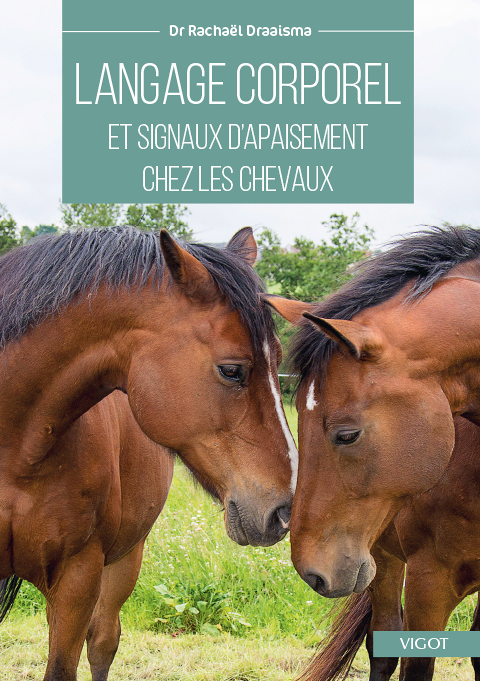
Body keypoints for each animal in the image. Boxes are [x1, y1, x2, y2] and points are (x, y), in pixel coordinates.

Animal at [0, 226, 298, 681]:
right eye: (232, 370)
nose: (285, 511)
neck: (17, 450)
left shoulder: (76, 581)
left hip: (125, 558)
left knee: (103, 641)